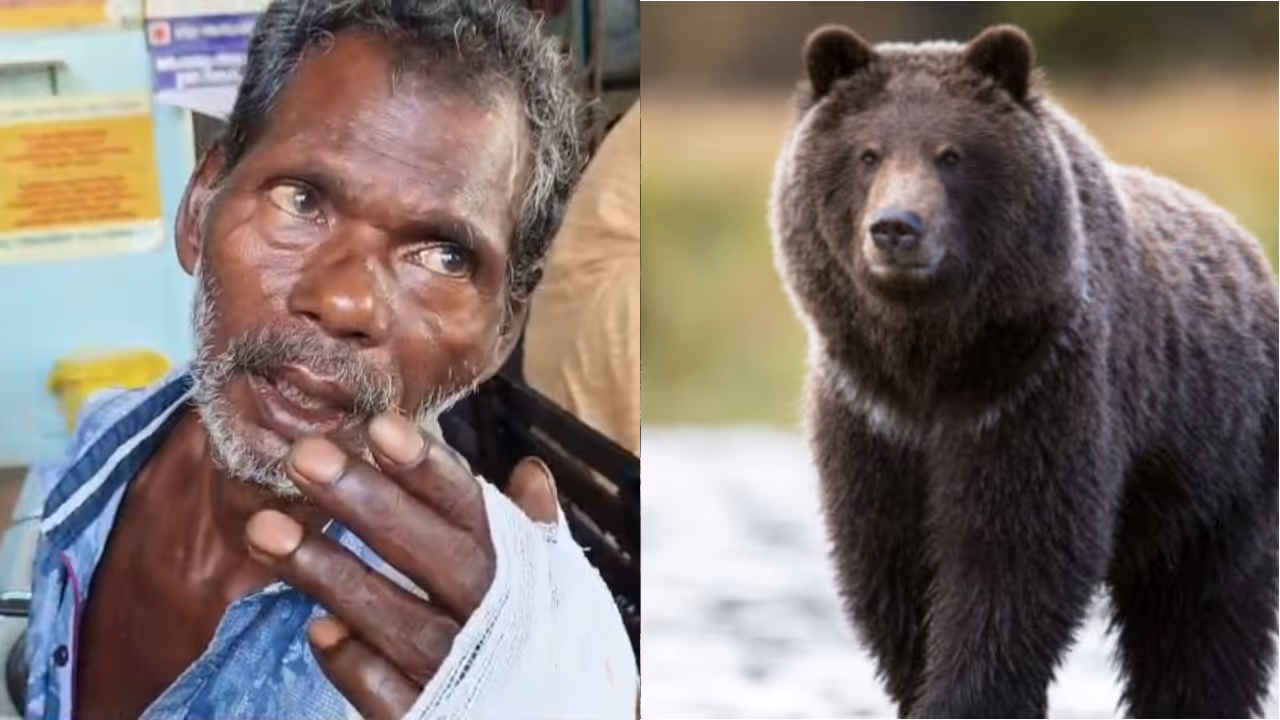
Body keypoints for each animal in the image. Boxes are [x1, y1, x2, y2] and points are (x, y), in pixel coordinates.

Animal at [768, 24, 1279, 719]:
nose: (896, 228)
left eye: (950, 154)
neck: (930, 363)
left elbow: (1010, 565)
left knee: (1202, 620)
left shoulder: (1033, 391)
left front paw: (963, 697)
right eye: (868, 153)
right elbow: (893, 572)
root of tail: (1248, 245)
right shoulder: (870, 417)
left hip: (1222, 466)